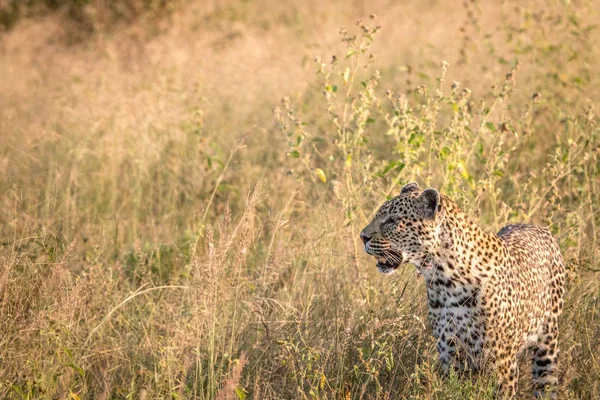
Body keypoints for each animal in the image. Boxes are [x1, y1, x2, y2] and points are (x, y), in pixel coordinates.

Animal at [360, 183, 568, 398]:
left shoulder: (502, 364)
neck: (443, 281)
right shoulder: (451, 356)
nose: (362, 237)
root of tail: (537, 227)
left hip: (547, 345)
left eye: (393, 220)